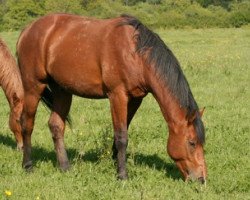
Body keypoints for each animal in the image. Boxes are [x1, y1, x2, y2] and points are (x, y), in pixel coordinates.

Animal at [17, 13, 207, 183]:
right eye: (191, 142)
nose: (201, 179)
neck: (135, 54)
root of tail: (27, 30)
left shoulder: (135, 99)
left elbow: (123, 131)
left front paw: (116, 163)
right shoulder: (117, 95)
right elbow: (121, 135)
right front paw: (122, 175)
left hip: (62, 90)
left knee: (56, 125)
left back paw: (64, 167)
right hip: (33, 87)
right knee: (27, 123)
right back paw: (28, 166)